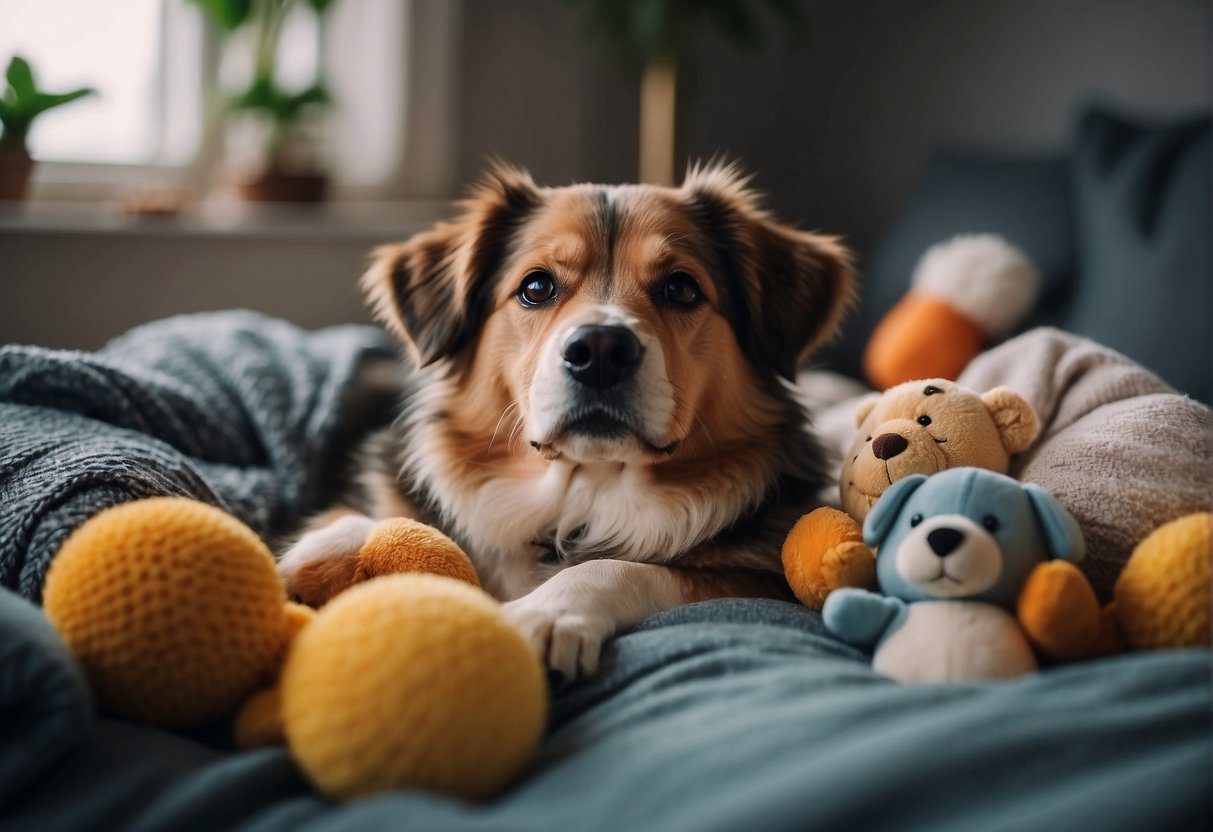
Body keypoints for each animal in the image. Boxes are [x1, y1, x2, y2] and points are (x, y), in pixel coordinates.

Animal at [280, 161, 858, 684]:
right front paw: (314, 552)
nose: (600, 349)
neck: (581, 495)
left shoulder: (762, 577)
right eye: (536, 287)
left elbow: (620, 567)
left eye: (681, 289)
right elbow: (392, 518)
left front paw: (546, 613)